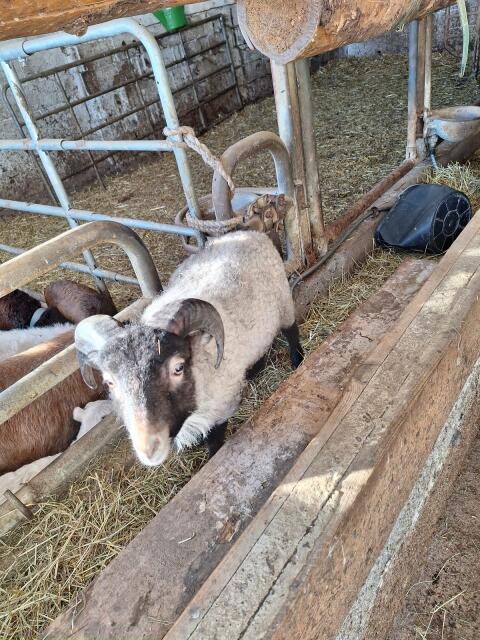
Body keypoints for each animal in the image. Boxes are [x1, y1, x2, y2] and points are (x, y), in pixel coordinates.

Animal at [75, 230, 303, 467]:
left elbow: (214, 438)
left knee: (291, 331)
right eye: (109, 382)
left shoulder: (219, 407)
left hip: (284, 302)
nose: (149, 449)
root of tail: (248, 232)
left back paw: (297, 360)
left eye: (178, 368)